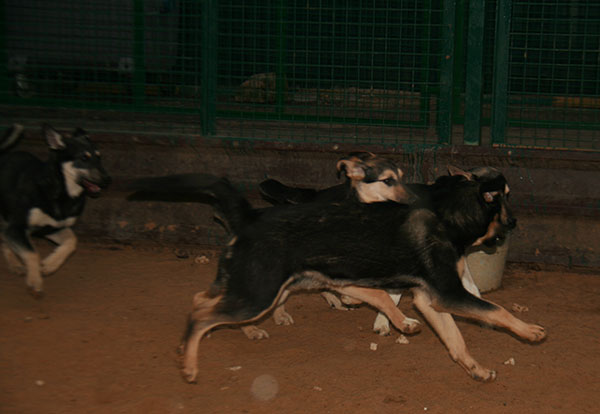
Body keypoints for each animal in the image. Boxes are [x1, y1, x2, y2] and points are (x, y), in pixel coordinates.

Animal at [0, 124, 111, 296]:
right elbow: (32, 253)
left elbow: (72, 242)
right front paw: (35, 281)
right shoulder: (16, 227)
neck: (60, 191)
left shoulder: (51, 228)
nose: (108, 180)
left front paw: (49, 265)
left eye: (99, 157)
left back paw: (15, 264)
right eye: (84, 158)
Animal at [180, 169, 545, 383]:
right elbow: (496, 310)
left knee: (202, 299)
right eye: (505, 200)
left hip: (261, 286)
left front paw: (476, 369)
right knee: (202, 315)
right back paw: (192, 362)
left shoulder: (429, 300)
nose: (515, 223)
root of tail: (250, 217)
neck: (448, 214)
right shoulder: (448, 294)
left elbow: (456, 341)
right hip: (260, 291)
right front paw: (529, 331)